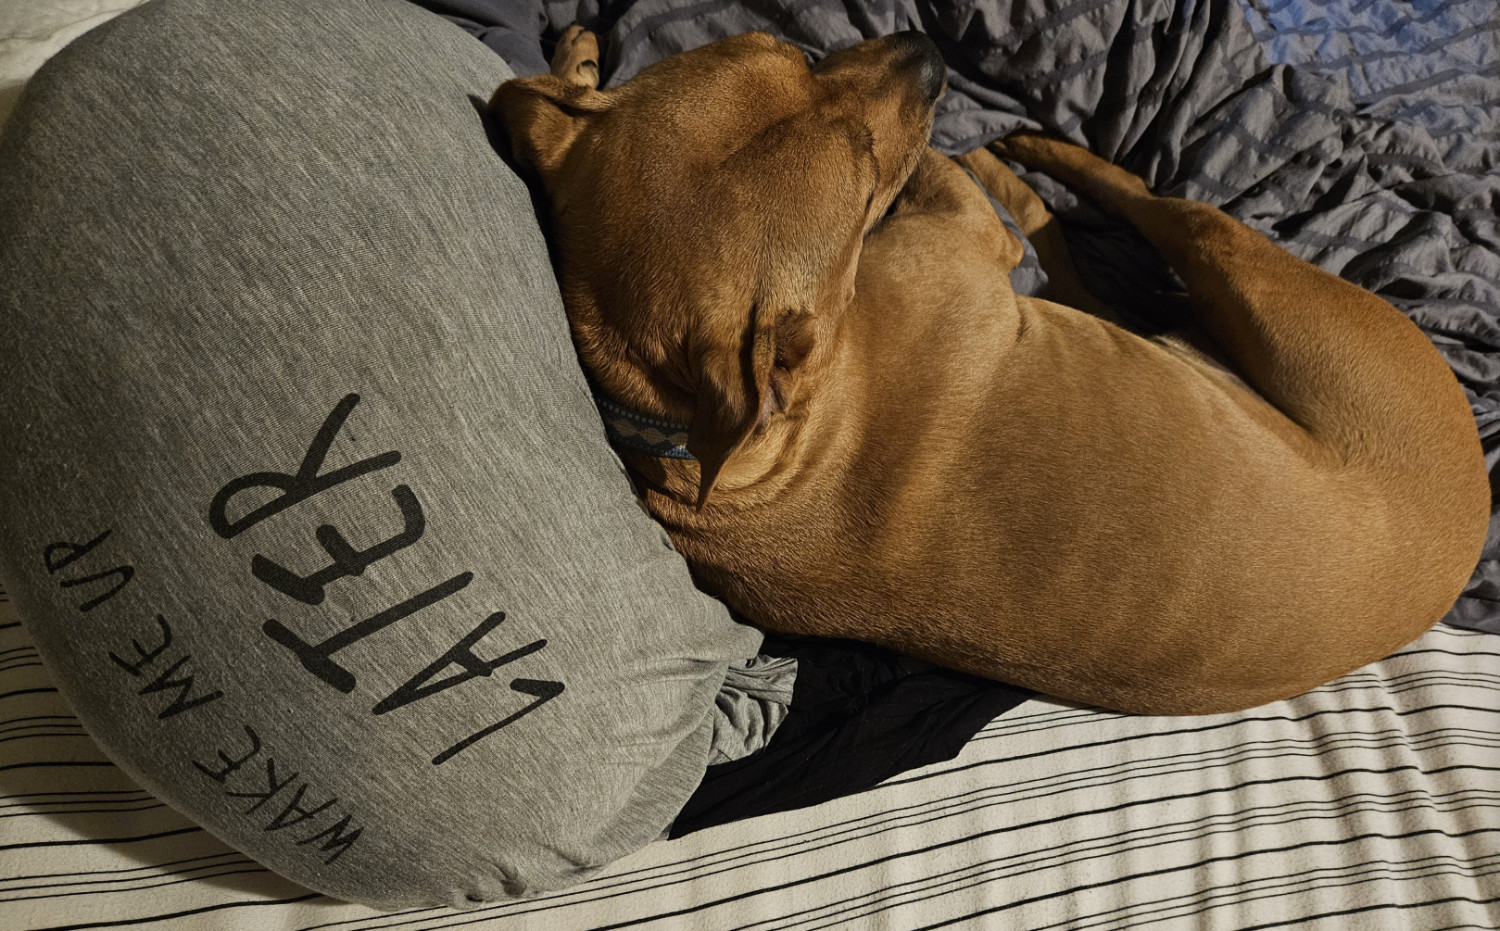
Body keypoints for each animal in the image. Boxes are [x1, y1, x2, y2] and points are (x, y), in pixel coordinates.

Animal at [495, 27, 1488, 710]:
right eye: (864, 179)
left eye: (802, 53)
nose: (928, 49)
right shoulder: (962, 230)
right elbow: (945, 167)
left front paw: (571, 75)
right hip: (1242, 264)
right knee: (1136, 200)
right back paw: (1032, 154)